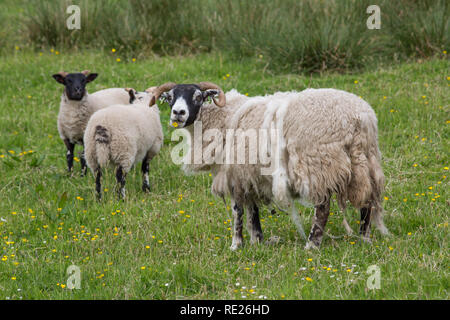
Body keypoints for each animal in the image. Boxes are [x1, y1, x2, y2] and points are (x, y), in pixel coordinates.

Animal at [149, 82, 388, 250]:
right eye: (170, 98)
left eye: (197, 96)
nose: (178, 113)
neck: (221, 117)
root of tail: (360, 118)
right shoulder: (249, 174)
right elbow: (252, 209)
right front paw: (257, 240)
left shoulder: (235, 173)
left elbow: (237, 210)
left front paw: (236, 244)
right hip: (364, 161)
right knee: (367, 200)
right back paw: (364, 238)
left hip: (319, 163)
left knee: (323, 208)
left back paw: (312, 244)